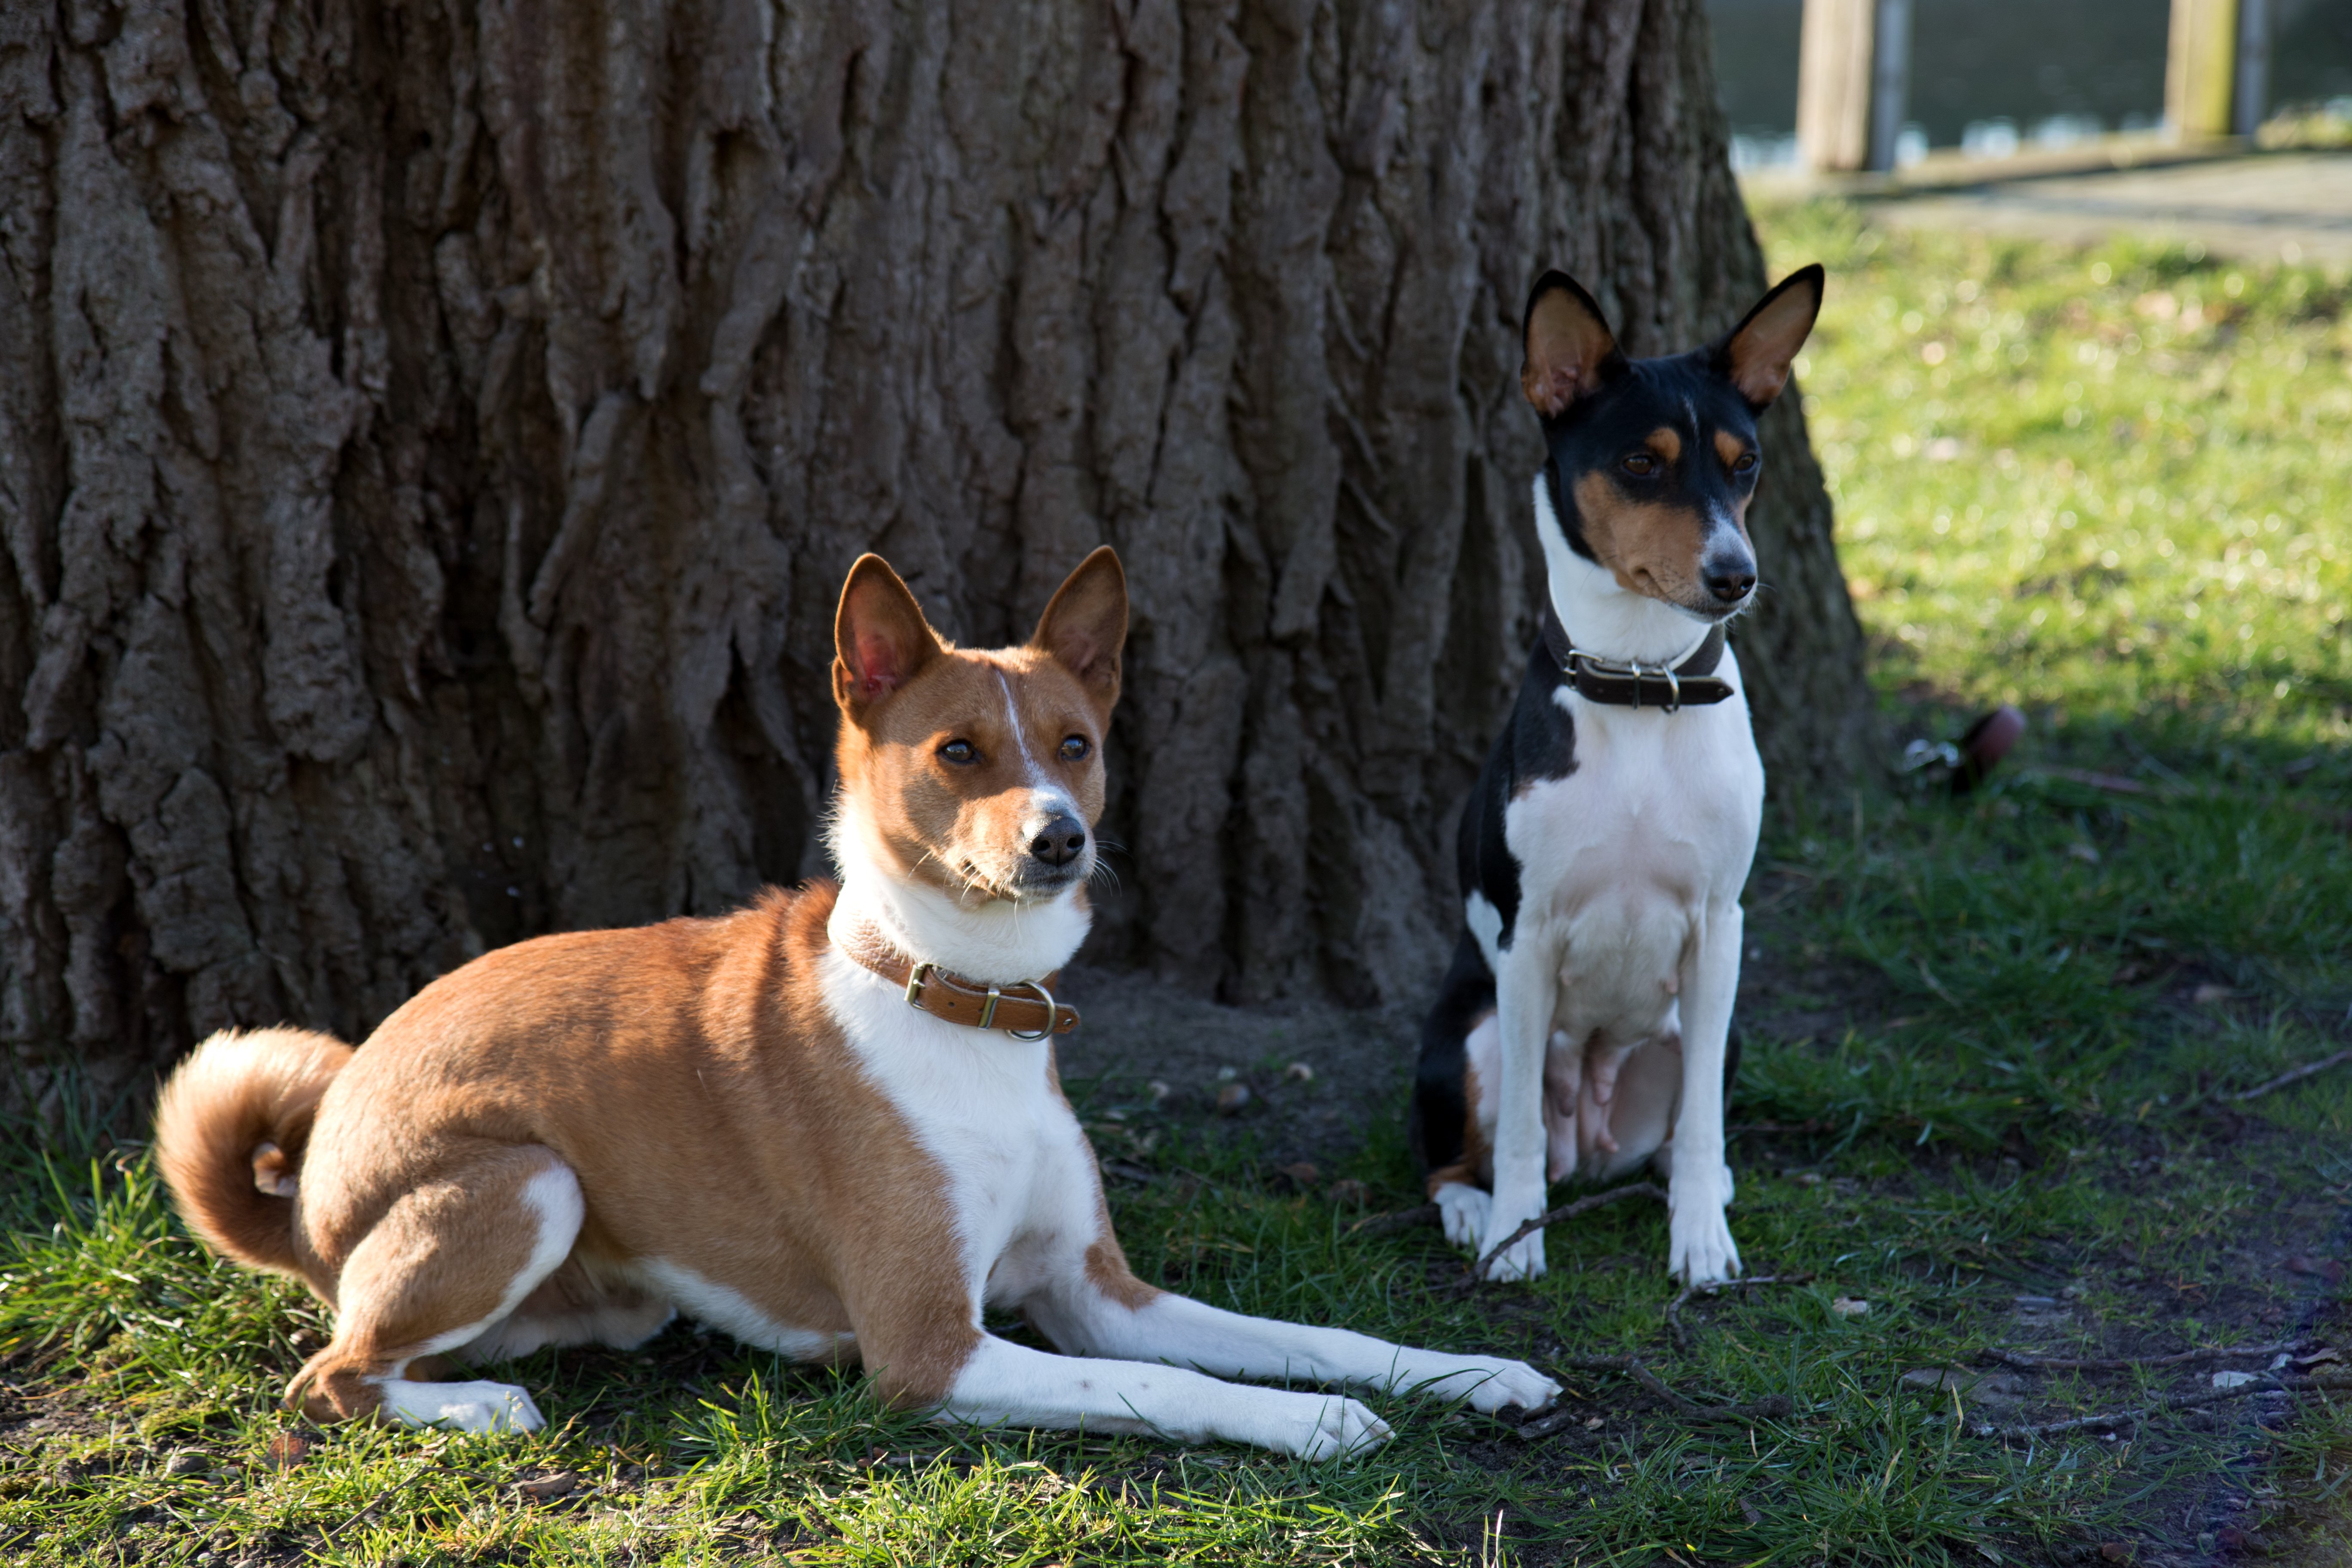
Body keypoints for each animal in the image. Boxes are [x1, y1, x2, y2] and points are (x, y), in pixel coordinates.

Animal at [161, 550, 1562, 1457]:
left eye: (1075, 745)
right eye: (959, 753)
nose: (1059, 841)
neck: (969, 1006)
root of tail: (307, 1189)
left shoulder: (1098, 1289)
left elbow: (1306, 1331)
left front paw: (1472, 1369)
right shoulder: (933, 1350)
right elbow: (1157, 1389)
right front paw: (1312, 1421)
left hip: (610, 1287)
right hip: (527, 1180)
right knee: (329, 1377)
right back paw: (473, 1415)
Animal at [1402, 263, 1825, 1279]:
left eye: (1744, 463)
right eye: (1640, 463)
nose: (1735, 575)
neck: (1642, 685)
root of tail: (1591, 1139)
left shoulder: (1719, 931)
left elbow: (1706, 1120)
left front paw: (1701, 1242)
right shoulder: (1524, 941)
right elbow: (1518, 1129)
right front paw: (1514, 1240)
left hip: (1705, 1030)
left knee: (1680, 1136)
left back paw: (1698, 1188)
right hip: (1466, 1037)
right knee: (1451, 1155)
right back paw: (1475, 1211)